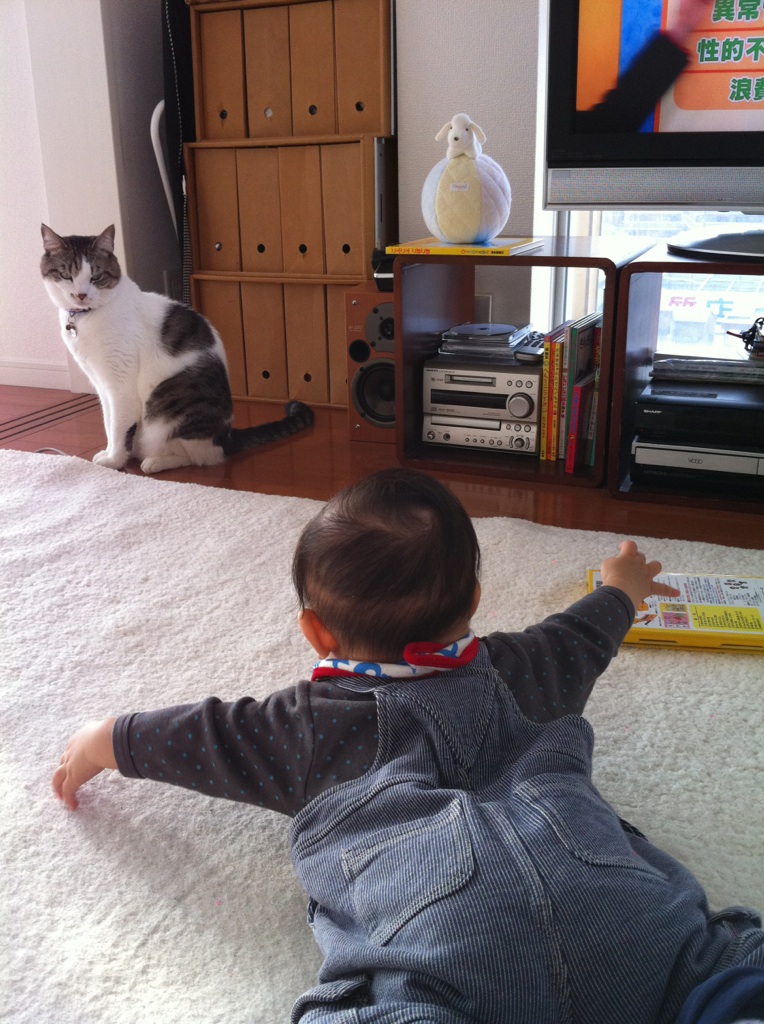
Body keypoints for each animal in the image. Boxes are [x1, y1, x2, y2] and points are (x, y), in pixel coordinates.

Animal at [40, 223, 313, 474]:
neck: (86, 318)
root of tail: (227, 436)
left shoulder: (120, 385)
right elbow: (109, 422)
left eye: (96, 277)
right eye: (66, 275)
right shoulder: (101, 384)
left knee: (202, 457)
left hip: (168, 413)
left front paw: (114, 461)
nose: (80, 295)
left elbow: (119, 426)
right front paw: (110, 452)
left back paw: (155, 462)